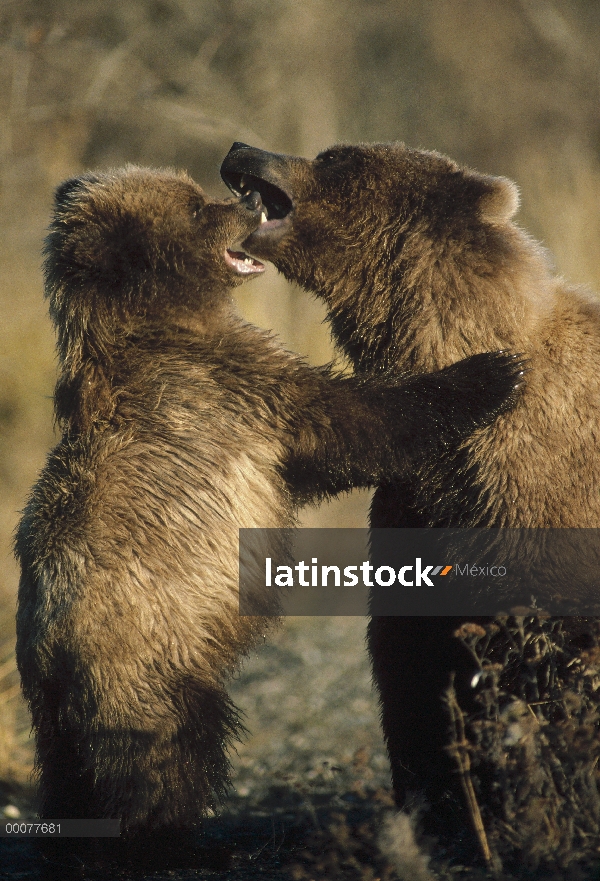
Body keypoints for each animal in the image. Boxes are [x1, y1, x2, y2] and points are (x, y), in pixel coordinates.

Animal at [14, 168, 520, 848]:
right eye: (197, 206)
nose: (248, 199)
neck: (156, 321)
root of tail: (52, 650)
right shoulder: (238, 389)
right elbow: (356, 424)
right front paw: (492, 371)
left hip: (54, 713)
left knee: (70, 777)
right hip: (150, 658)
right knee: (164, 756)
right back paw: (171, 837)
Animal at [220, 143, 600, 820]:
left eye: (334, 159)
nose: (244, 149)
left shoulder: (536, 496)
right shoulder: (422, 500)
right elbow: (412, 659)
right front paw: (437, 796)